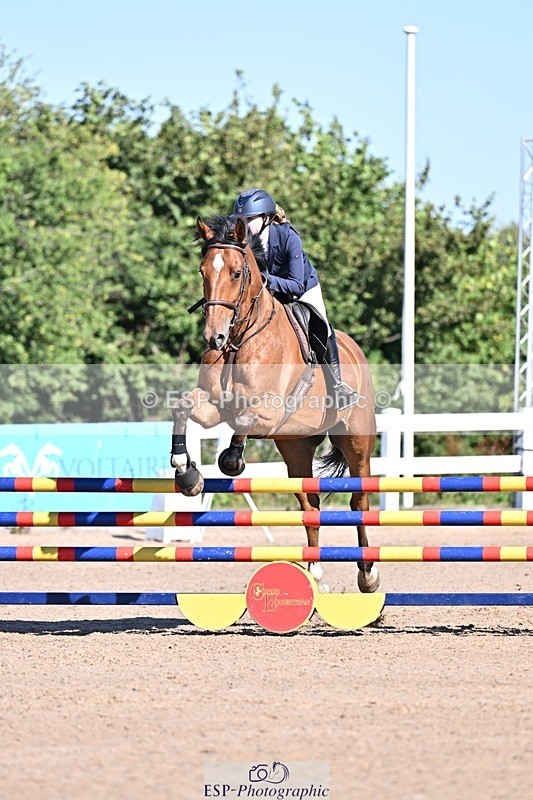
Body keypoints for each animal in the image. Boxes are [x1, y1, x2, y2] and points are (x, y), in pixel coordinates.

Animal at [171, 214, 379, 593]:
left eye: (237, 273)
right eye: (202, 271)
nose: (213, 337)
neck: (240, 339)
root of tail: (354, 348)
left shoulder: (268, 411)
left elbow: (244, 421)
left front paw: (231, 461)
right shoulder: (212, 405)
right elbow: (182, 407)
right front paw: (187, 474)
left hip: (355, 440)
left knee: (359, 500)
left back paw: (368, 574)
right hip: (295, 447)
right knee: (310, 504)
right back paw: (315, 575)